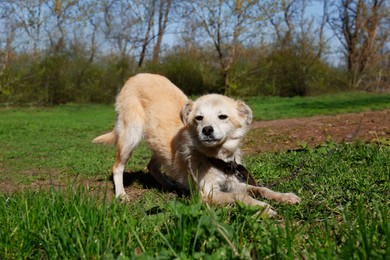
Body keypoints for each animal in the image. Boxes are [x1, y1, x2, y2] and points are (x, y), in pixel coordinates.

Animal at [93, 73, 300, 217]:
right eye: (199, 118)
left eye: (222, 116)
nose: (207, 130)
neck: (216, 157)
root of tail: (135, 76)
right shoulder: (208, 194)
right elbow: (241, 197)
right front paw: (263, 208)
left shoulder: (233, 183)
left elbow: (260, 189)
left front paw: (285, 196)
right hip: (131, 136)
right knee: (117, 167)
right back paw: (121, 194)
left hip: (159, 146)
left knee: (152, 165)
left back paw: (170, 185)